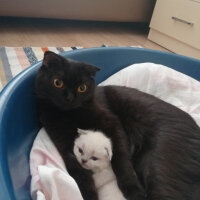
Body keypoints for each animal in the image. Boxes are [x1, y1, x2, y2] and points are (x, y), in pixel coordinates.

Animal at [34, 51, 200, 200]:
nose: (70, 98)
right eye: (58, 83)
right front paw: (88, 195)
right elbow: (78, 172)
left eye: (82, 88)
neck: (71, 115)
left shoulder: (113, 124)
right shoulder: (63, 143)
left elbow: (120, 158)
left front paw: (133, 190)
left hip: (158, 167)